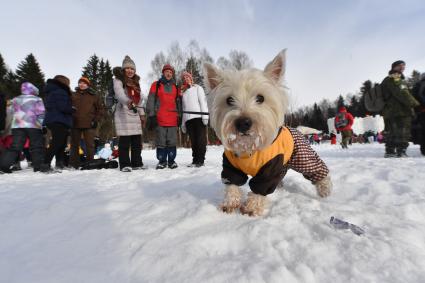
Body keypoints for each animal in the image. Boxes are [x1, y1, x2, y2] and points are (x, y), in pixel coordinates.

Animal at [203, 49, 332, 217]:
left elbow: (260, 188)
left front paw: (251, 208)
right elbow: (232, 184)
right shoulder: (230, 166)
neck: (249, 149)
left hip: (303, 157)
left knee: (319, 169)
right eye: (229, 100)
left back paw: (325, 190)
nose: (243, 123)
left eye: (260, 98)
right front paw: (229, 204)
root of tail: (296, 129)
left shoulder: (271, 167)